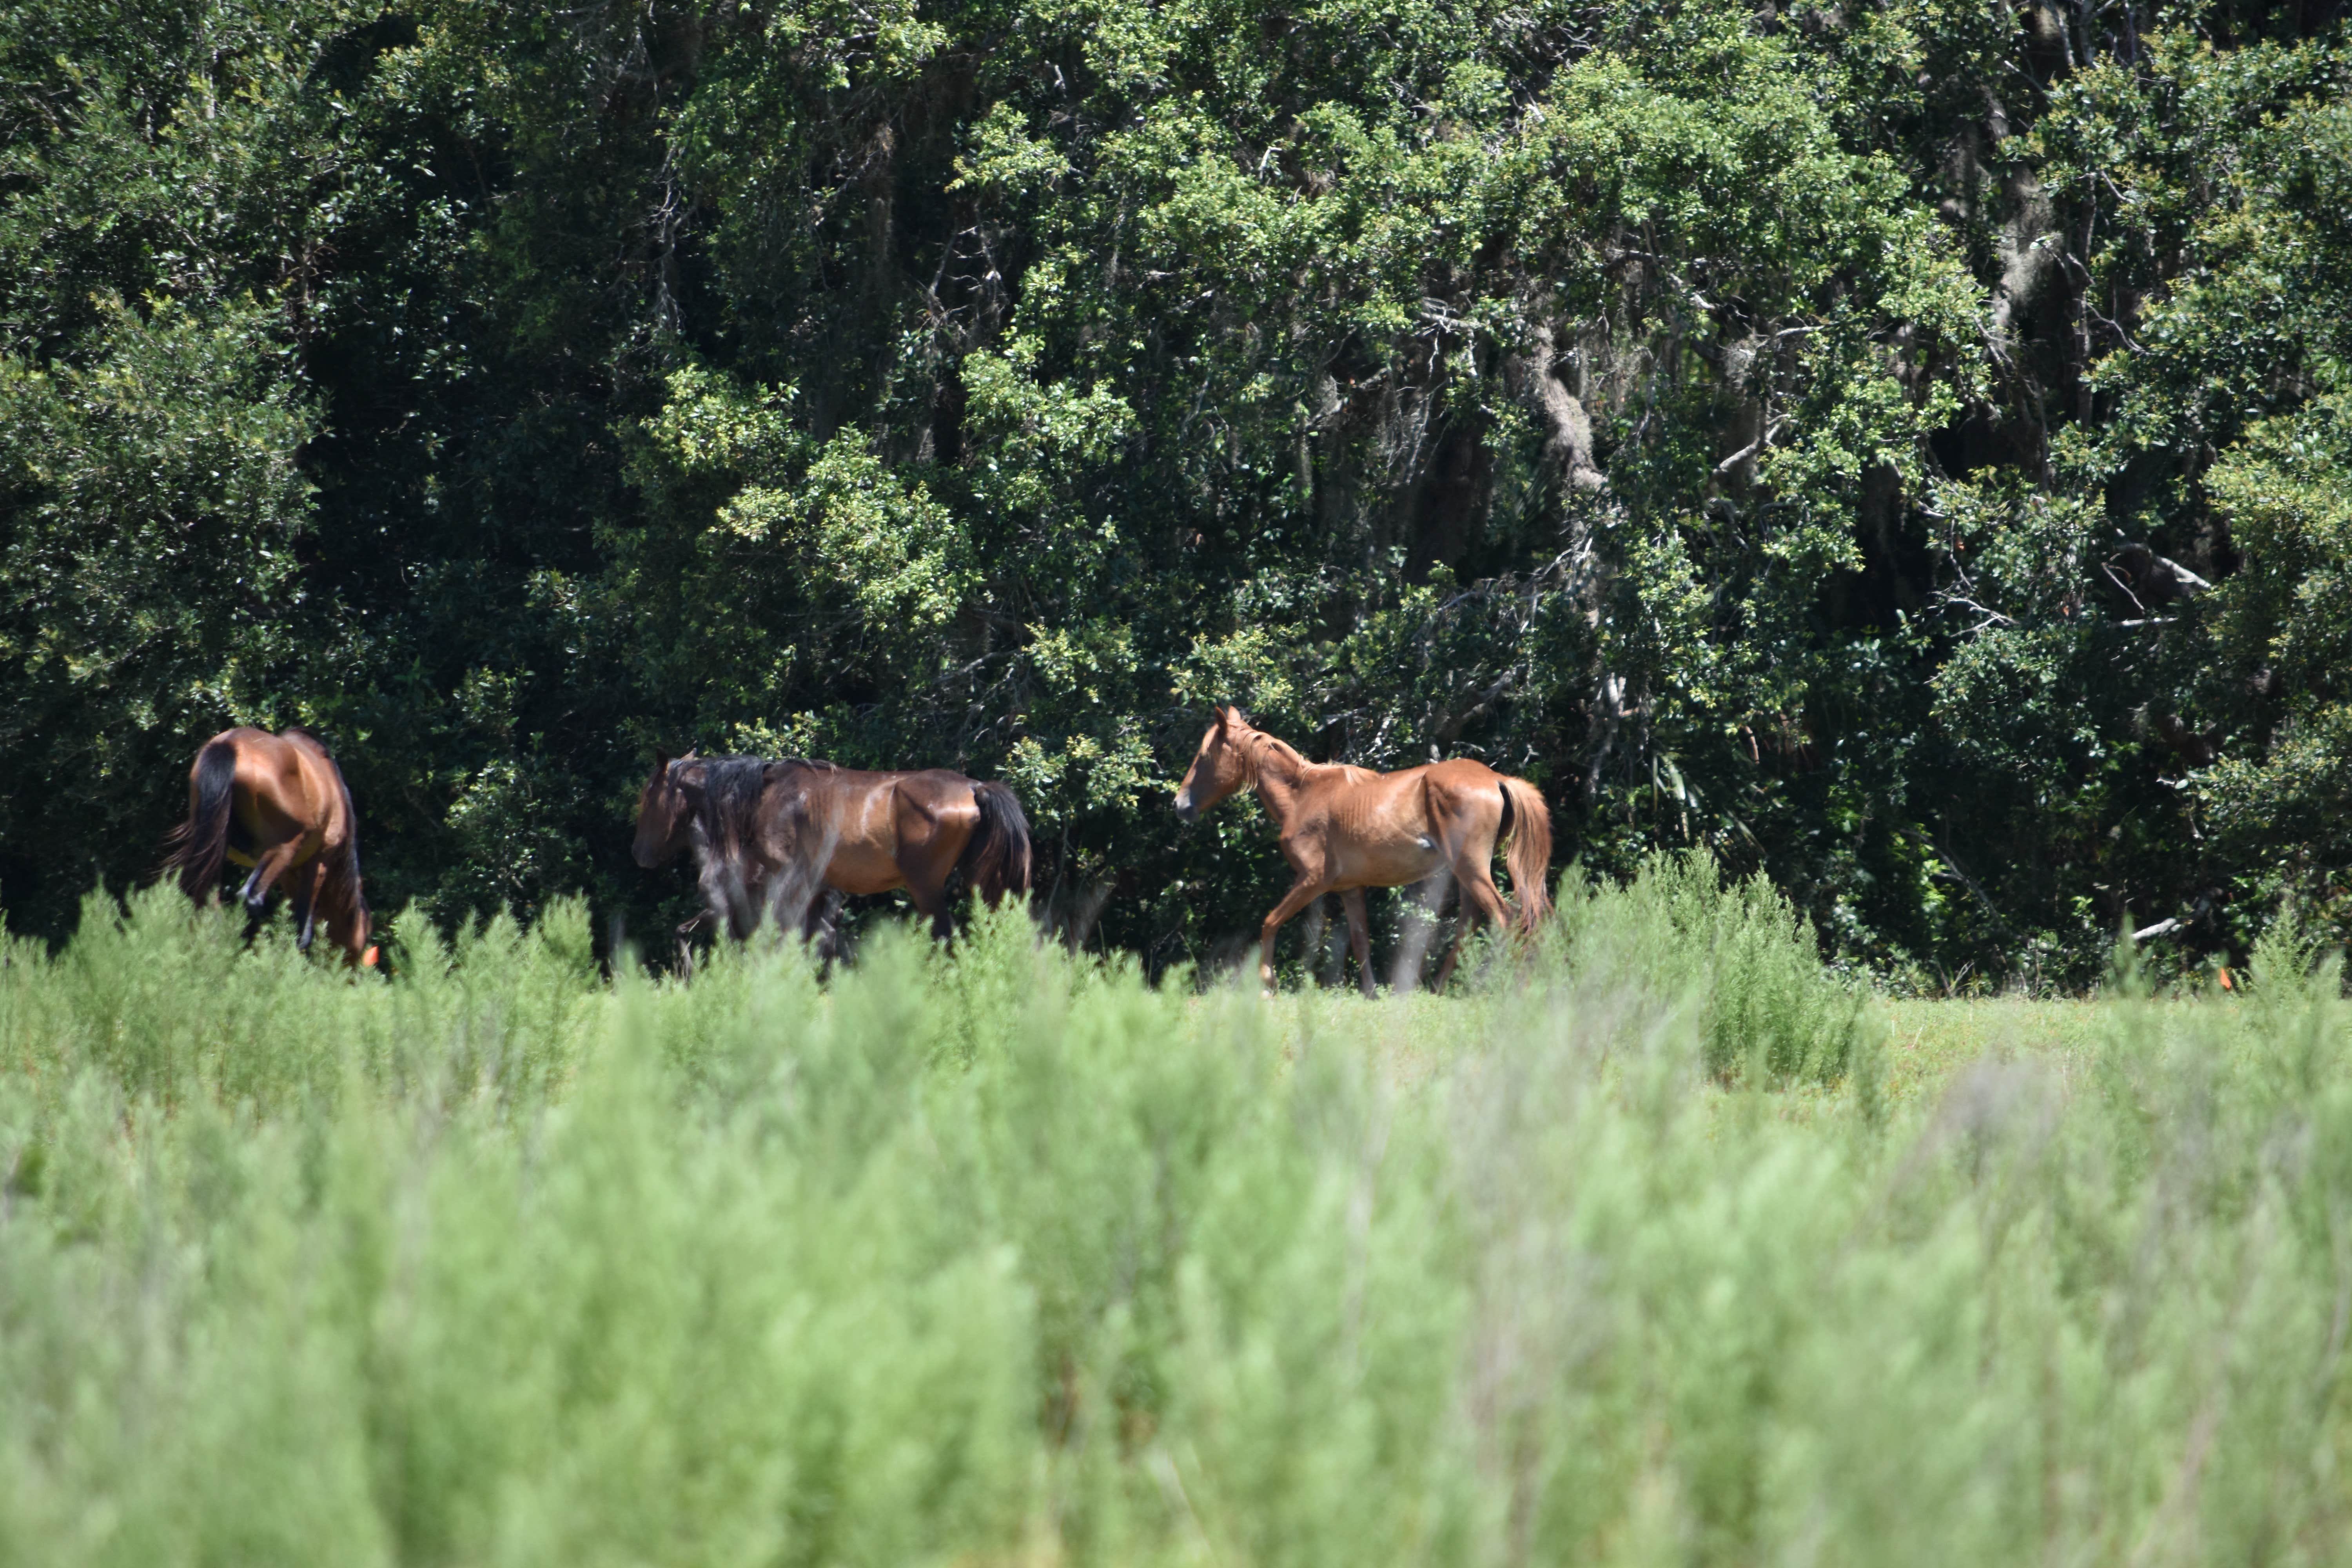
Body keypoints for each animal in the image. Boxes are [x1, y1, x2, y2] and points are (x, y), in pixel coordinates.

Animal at [161, 729, 376, 968]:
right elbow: (302, 928)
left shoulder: (291, 873)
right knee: (251, 898)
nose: (355, 970)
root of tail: (231, 745)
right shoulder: (319, 863)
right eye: (366, 931)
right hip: (283, 849)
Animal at [630, 748, 1035, 945]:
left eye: (648, 797)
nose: (639, 854)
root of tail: (975, 787)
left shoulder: (787, 884)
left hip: (926, 888)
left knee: (946, 938)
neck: (766, 796)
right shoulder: (815, 892)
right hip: (983, 885)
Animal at [1171, 710, 1543, 992]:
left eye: (1204, 757)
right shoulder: (1350, 889)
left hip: (1471, 869)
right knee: (1470, 922)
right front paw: (1371, 993)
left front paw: (1267, 984)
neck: (1302, 796)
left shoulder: (1312, 881)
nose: (1179, 805)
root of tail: (1496, 779)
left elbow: (1270, 922)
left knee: (1504, 917)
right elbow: (1360, 940)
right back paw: (1439, 987)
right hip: (1464, 874)